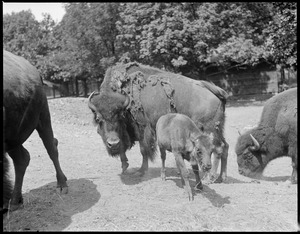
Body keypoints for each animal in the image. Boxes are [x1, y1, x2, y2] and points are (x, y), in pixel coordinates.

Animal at [2, 49, 67, 212]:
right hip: (14, 136)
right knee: (22, 159)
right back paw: (15, 201)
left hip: (43, 117)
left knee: (51, 148)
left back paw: (62, 185)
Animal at [88, 62, 229, 183]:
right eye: (98, 119)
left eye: (119, 116)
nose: (112, 143)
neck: (125, 104)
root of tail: (215, 91)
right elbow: (124, 147)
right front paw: (125, 167)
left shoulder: (142, 130)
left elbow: (143, 150)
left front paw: (141, 171)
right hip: (218, 128)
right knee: (225, 146)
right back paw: (221, 177)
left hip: (209, 129)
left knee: (218, 148)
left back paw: (210, 177)